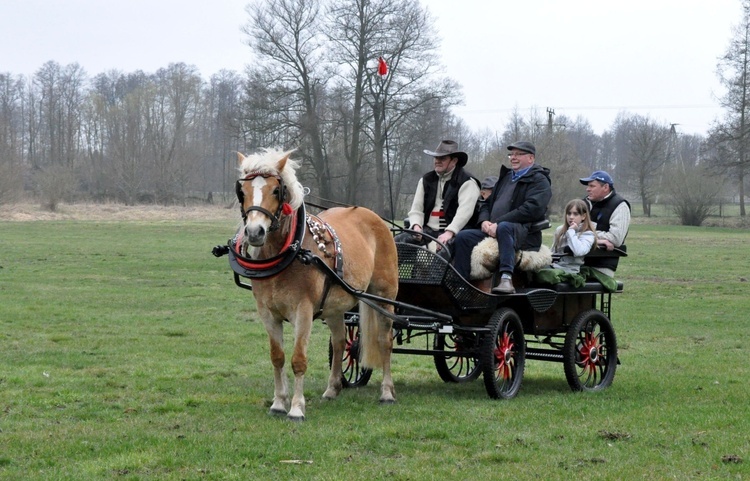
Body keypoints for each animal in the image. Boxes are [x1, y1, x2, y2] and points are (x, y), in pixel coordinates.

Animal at [235, 148, 400, 418]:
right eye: (243, 191)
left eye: (276, 190)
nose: (254, 232)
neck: (288, 253)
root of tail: (373, 216)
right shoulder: (267, 313)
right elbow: (277, 357)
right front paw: (278, 403)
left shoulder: (303, 311)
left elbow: (298, 360)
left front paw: (296, 408)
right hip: (334, 306)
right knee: (340, 342)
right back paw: (332, 389)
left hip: (384, 296)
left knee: (385, 340)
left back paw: (387, 392)